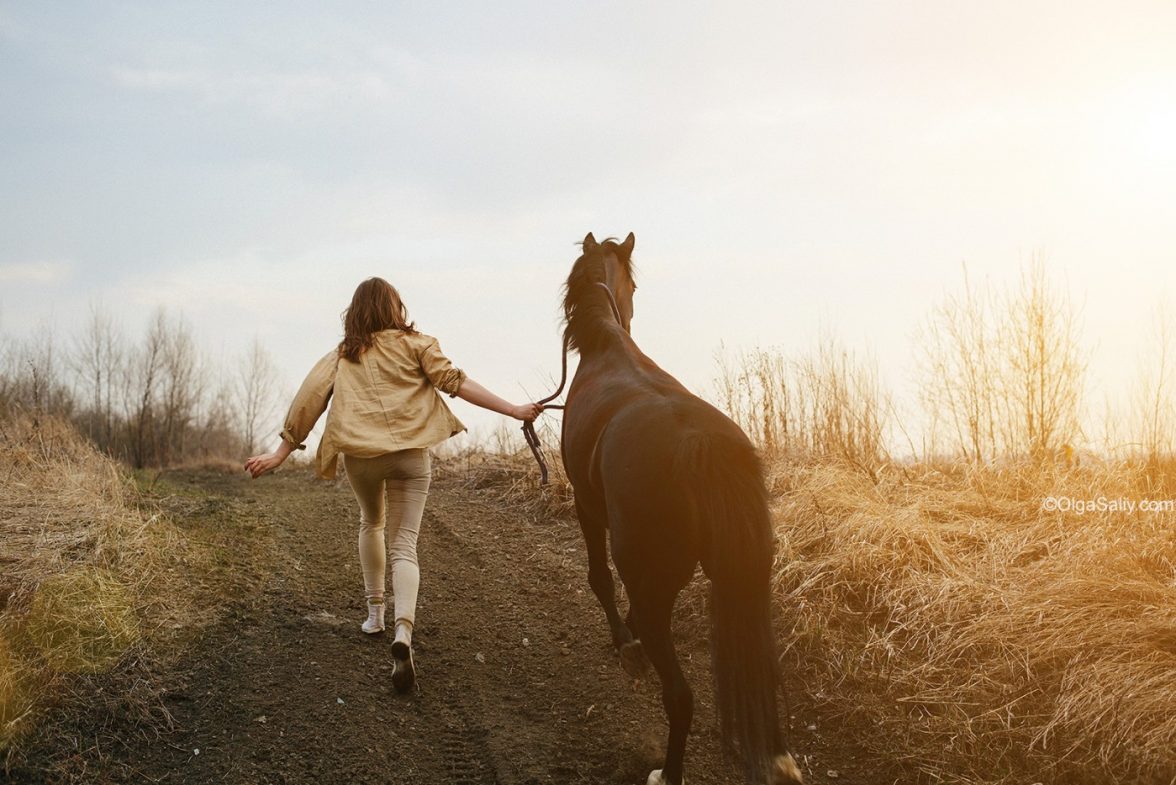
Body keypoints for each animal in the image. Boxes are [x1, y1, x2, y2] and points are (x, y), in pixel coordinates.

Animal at [557, 230, 799, 780]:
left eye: (634, 287)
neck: (608, 345)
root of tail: (700, 449)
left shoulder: (585, 506)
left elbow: (600, 579)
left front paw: (624, 643)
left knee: (679, 693)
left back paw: (667, 771)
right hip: (745, 581)